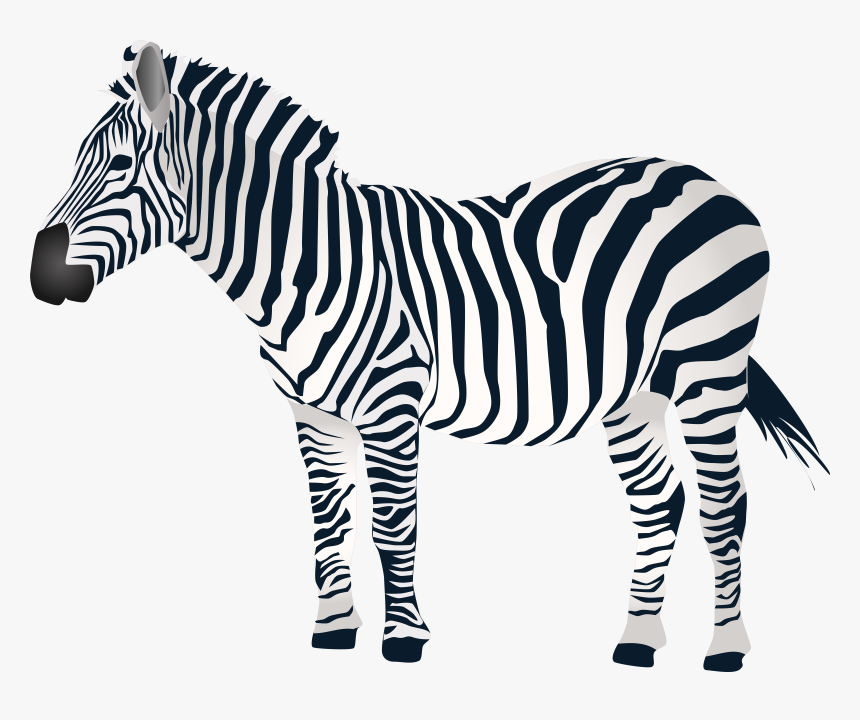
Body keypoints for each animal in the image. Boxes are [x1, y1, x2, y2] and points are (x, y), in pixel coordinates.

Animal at [30, 41, 827, 671]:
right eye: (76, 162)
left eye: (121, 167)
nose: (41, 278)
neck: (306, 265)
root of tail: (704, 177)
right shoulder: (312, 414)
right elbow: (328, 521)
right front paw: (334, 631)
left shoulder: (392, 404)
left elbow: (393, 522)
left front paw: (403, 638)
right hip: (635, 391)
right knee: (659, 500)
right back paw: (636, 641)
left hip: (708, 369)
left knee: (725, 502)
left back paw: (726, 648)